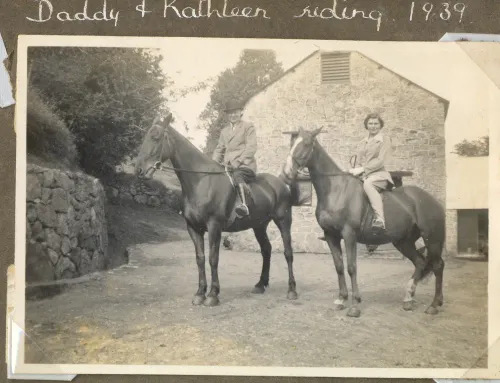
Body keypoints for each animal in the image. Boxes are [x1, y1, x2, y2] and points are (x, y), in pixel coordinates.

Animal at [133, 113, 296, 306]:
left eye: (156, 137)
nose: (139, 170)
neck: (201, 181)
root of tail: (280, 184)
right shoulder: (193, 227)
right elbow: (200, 258)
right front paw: (199, 293)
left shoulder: (214, 226)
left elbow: (213, 258)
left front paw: (212, 294)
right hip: (259, 226)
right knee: (266, 250)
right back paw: (260, 285)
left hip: (283, 221)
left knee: (288, 252)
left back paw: (292, 290)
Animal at [282, 128, 446, 318]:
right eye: (291, 143)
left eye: (307, 143)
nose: (286, 173)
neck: (336, 189)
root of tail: (432, 200)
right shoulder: (330, 235)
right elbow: (339, 266)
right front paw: (341, 299)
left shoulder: (349, 235)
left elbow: (352, 267)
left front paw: (354, 305)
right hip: (403, 242)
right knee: (420, 263)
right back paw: (408, 299)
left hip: (432, 239)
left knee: (438, 265)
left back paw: (434, 304)